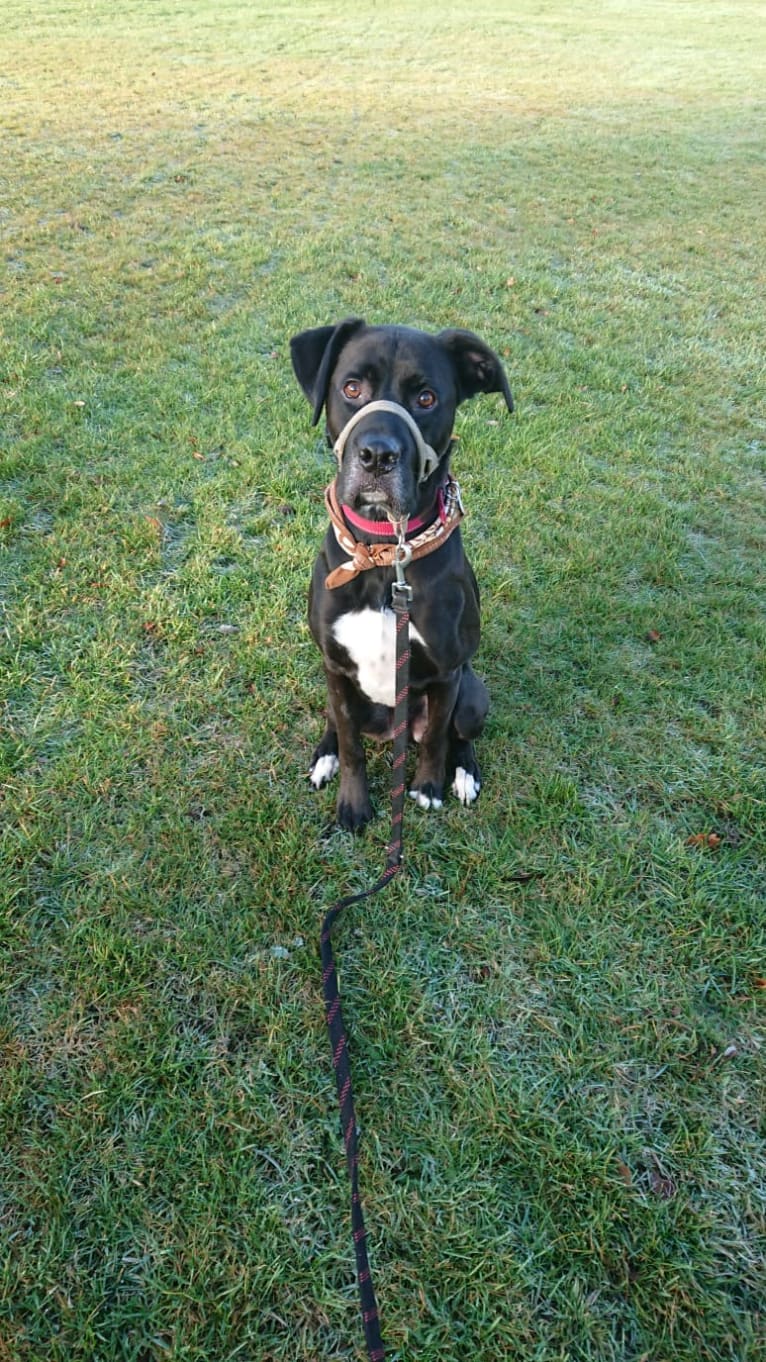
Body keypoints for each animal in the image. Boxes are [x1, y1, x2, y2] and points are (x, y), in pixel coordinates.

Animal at [288, 318, 509, 828]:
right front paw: (353, 805)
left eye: (426, 398)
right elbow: (351, 747)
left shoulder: (446, 673)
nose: (376, 456)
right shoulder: (335, 667)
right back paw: (324, 755)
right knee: (336, 724)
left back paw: (464, 774)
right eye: (351, 388)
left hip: (473, 692)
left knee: (458, 734)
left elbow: (437, 739)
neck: (386, 555)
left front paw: (428, 788)